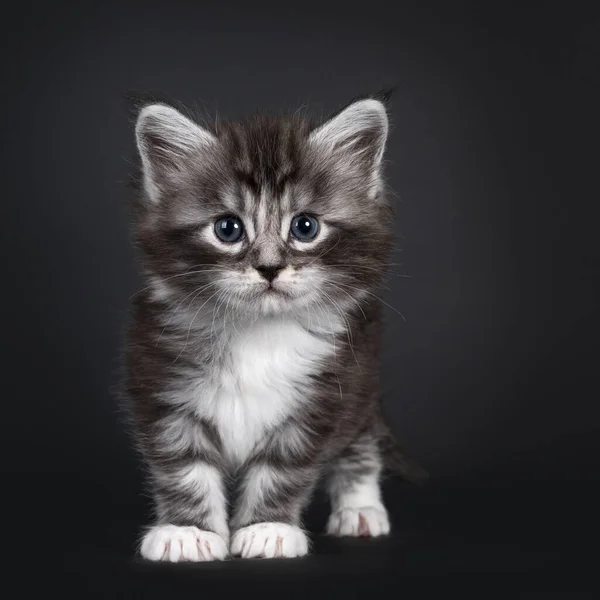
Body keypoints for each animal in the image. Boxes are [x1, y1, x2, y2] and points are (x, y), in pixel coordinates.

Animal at [122, 95, 424, 564]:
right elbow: (183, 466)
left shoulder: (323, 396)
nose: (269, 267)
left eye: (305, 227)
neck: (258, 333)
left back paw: (360, 508)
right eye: (228, 228)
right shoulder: (162, 385)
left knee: (360, 441)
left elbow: (281, 470)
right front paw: (187, 531)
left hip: (363, 383)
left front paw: (269, 529)